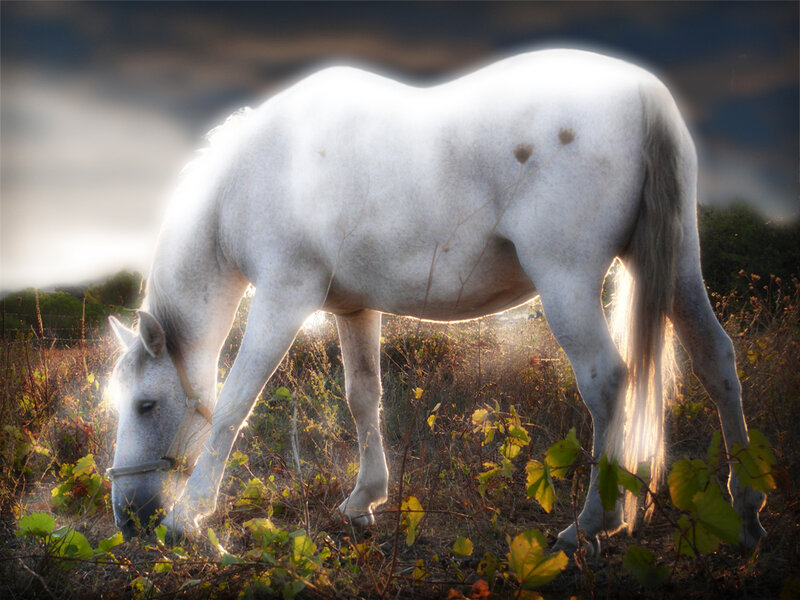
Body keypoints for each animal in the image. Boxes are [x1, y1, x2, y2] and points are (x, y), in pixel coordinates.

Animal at [105, 48, 766, 553]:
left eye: (145, 404)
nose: (129, 518)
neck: (257, 175)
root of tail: (642, 93)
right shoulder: (353, 308)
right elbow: (363, 397)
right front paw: (365, 499)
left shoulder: (284, 299)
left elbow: (234, 403)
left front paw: (188, 516)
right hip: (675, 268)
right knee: (716, 361)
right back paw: (748, 515)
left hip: (568, 281)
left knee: (607, 381)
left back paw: (589, 526)